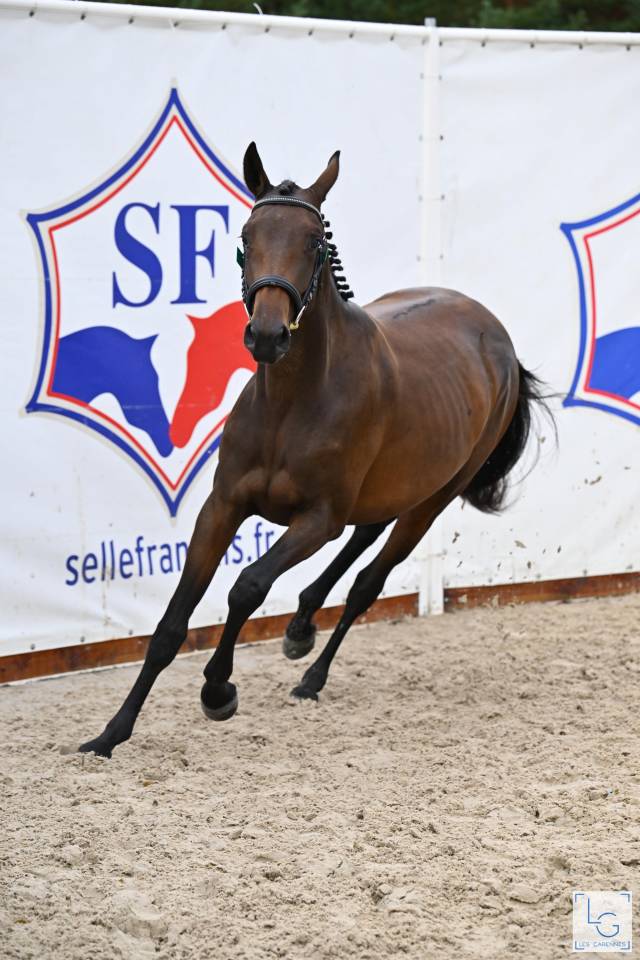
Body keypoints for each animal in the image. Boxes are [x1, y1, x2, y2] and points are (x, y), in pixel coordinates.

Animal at [79, 144, 548, 758]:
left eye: (314, 242)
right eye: (246, 236)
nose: (267, 335)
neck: (292, 401)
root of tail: (497, 336)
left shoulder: (316, 519)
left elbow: (248, 586)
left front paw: (218, 691)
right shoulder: (222, 507)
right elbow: (171, 625)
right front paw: (111, 733)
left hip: (434, 496)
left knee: (368, 579)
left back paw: (312, 672)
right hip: (394, 484)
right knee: (365, 533)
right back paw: (301, 625)